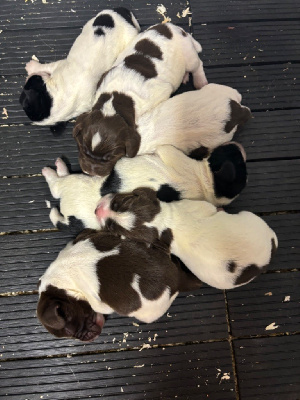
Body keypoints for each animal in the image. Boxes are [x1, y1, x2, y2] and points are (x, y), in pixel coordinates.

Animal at [37, 228, 202, 340]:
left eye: (74, 332)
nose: (90, 337)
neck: (61, 285)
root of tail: (178, 279)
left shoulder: (97, 303)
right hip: (155, 247)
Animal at [41, 142, 247, 233]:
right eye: (239, 160)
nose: (239, 145)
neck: (206, 183)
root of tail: (72, 217)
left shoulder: (171, 153)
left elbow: (165, 148)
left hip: (74, 185)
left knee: (57, 187)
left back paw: (54, 170)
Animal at [73, 22, 207, 176]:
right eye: (83, 148)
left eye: (110, 157)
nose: (90, 171)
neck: (114, 100)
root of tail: (174, 27)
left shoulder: (162, 91)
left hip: (189, 55)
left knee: (198, 65)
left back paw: (200, 81)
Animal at [95, 188, 278, 290]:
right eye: (111, 227)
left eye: (117, 203)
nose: (97, 210)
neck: (164, 222)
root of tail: (268, 256)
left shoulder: (192, 205)